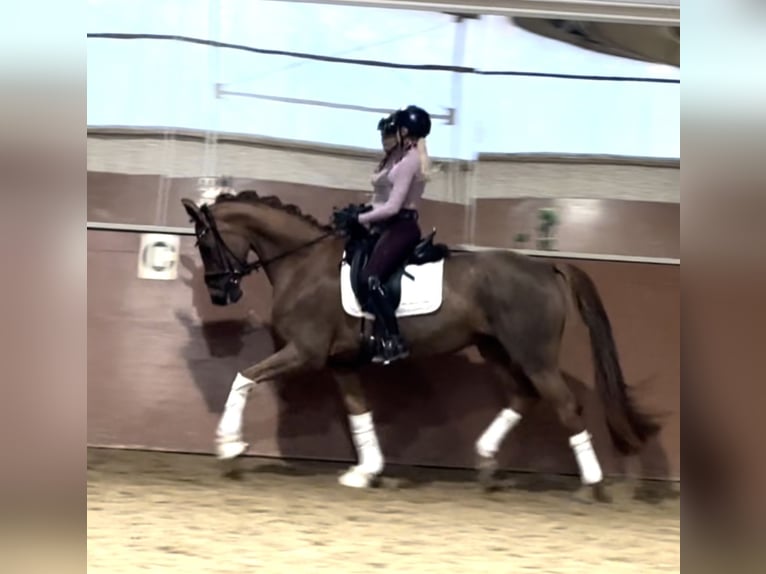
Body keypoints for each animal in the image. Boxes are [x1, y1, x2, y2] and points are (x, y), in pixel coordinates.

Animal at [180, 191, 660, 502]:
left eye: (205, 243)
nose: (221, 294)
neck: (303, 264)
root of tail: (548, 268)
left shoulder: (305, 352)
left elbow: (243, 378)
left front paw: (229, 447)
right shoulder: (341, 364)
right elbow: (359, 414)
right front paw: (365, 473)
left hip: (533, 354)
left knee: (565, 406)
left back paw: (591, 485)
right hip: (497, 349)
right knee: (521, 398)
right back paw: (486, 465)